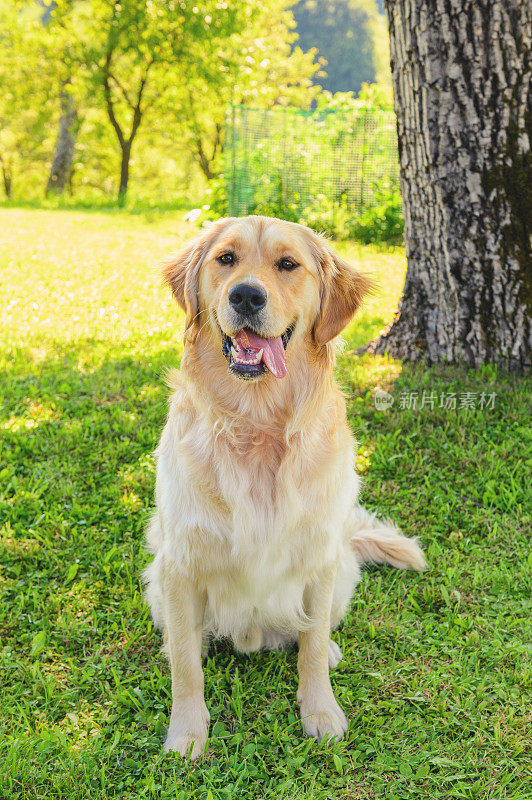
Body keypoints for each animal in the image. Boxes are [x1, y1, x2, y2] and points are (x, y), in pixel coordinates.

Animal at [143, 216, 426, 760]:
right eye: (226, 259)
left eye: (288, 265)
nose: (246, 296)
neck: (257, 423)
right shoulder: (180, 563)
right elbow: (186, 665)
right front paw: (187, 731)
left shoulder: (318, 560)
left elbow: (310, 648)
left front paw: (320, 711)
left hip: (342, 570)